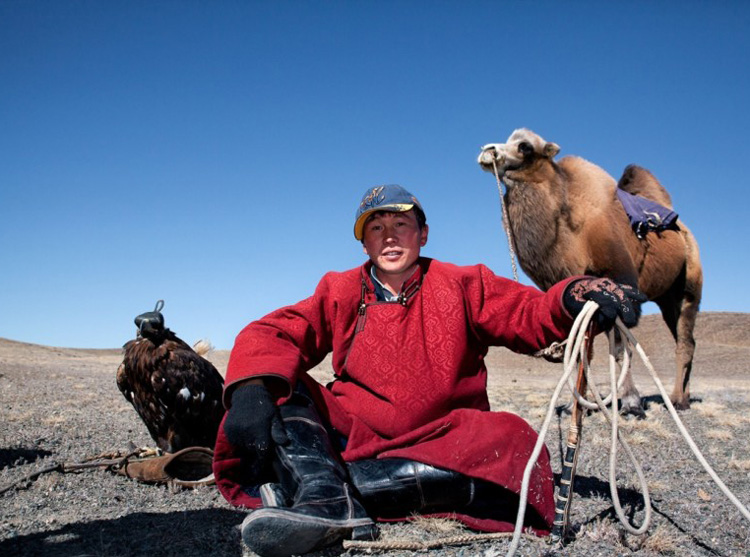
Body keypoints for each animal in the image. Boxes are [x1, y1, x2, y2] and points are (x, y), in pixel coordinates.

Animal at [478, 127, 704, 412]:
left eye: (525, 146)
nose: (488, 151)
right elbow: (580, 348)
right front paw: (578, 405)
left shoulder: (620, 284)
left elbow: (619, 346)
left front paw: (630, 401)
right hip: (666, 297)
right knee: (686, 340)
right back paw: (684, 396)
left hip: (688, 286)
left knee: (684, 342)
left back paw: (677, 401)